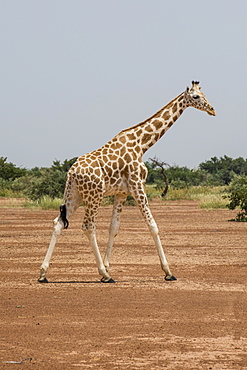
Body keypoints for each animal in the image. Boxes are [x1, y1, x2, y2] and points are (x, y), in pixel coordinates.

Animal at [37, 81, 215, 284]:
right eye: (195, 97)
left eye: (203, 94)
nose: (212, 109)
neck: (142, 144)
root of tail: (71, 173)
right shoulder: (137, 186)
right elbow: (153, 226)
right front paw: (168, 272)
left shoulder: (121, 192)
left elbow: (113, 228)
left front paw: (108, 265)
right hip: (94, 195)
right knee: (88, 226)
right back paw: (104, 275)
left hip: (74, 195)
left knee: (58, 222)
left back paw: (43, 274)